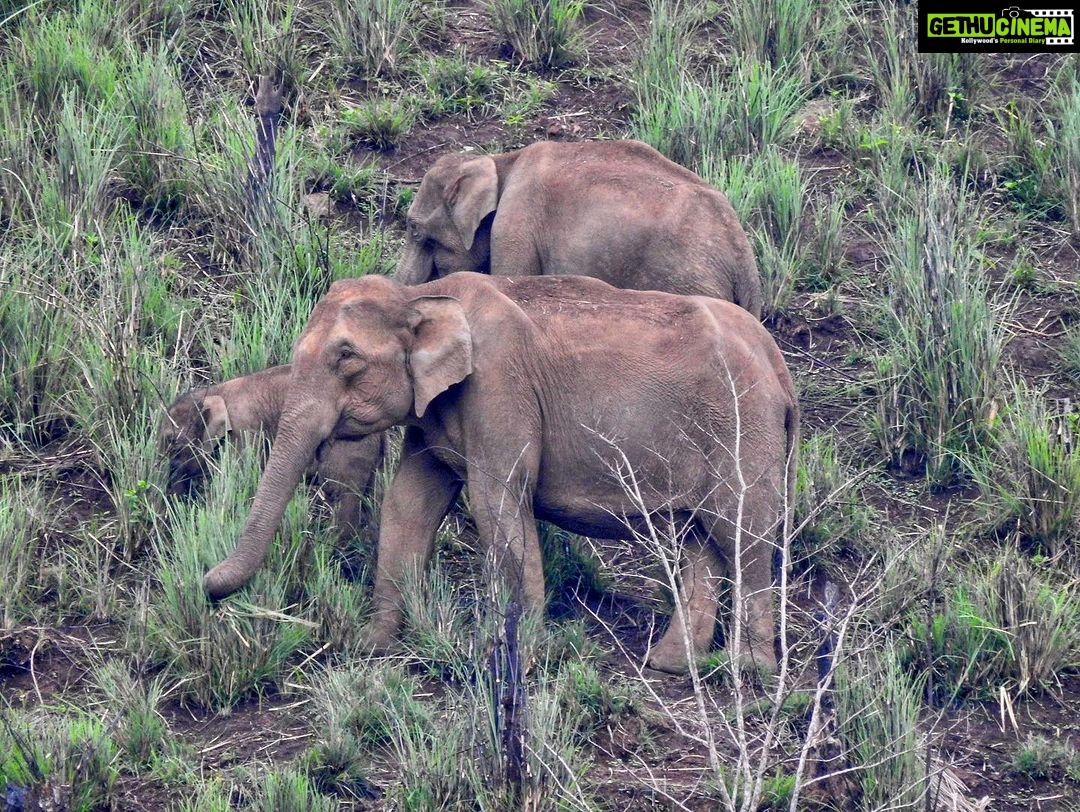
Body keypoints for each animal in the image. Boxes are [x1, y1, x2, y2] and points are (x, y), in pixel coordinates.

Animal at [161, 364, 384, 538]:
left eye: (173, 444)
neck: (216, 391)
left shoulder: (246, 429)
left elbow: (242, 481)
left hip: (349, 448)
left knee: (340, 493)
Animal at [202, 272, 798, 674]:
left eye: (346, 357)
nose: (207, 588)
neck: (422, 294)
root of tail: (777, 363)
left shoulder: (498, 387)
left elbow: (496, 501)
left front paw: (522, 658)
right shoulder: (437, 409)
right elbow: (409, 502)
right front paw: (373, 646)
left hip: (743, 429)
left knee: (742, 535)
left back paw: (750, 669)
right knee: (699, 539)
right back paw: (672, 665)